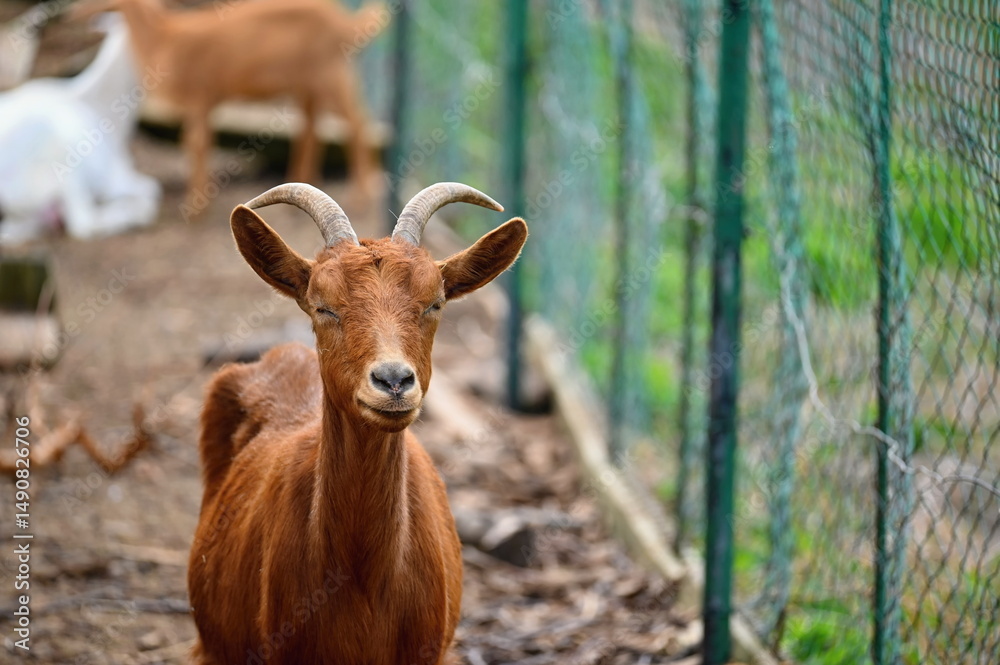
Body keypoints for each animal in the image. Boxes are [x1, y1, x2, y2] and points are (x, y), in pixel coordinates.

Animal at [76, 0, 387, 215]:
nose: (78, 15)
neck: (163, 37)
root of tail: (345, 22)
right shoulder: (205, 103)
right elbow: (202, 142)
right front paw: (204, 201)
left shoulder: (198, 96)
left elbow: (196, 143)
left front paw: (195, 209)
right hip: (310, 87)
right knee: (312, 130)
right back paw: (302, 188)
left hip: (331, 76)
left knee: (357, 124)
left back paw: (361, 197)